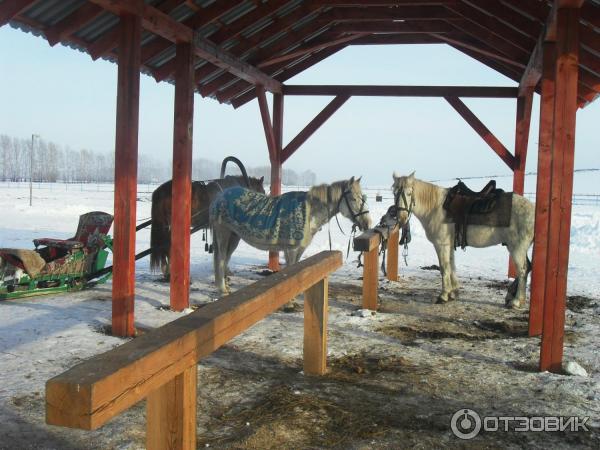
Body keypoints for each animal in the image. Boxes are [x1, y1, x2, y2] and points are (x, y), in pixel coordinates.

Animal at [210, 176, 370, 296]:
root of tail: (220, 196)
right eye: (354, 199)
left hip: (234, 237)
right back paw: (222, 289)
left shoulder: (299, 249)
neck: (309, 212)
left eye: (363, 198)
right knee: (221, 258)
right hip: (223, 233)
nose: (367, 223)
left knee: (226, 257)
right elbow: (291, 270)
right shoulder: (291, 248)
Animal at [386, 171, 536, 308]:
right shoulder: (449, 245)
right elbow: (452, 266)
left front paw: (443, 295)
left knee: (523, 270)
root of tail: (533, 210)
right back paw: (511, 296)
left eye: (409, 193)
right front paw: (453, 293)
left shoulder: (441, 244)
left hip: (516, 248)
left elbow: (444, 267)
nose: (401, 218)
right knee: (528, 268)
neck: (435, 207)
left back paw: (516, 301)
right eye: (394, 193)